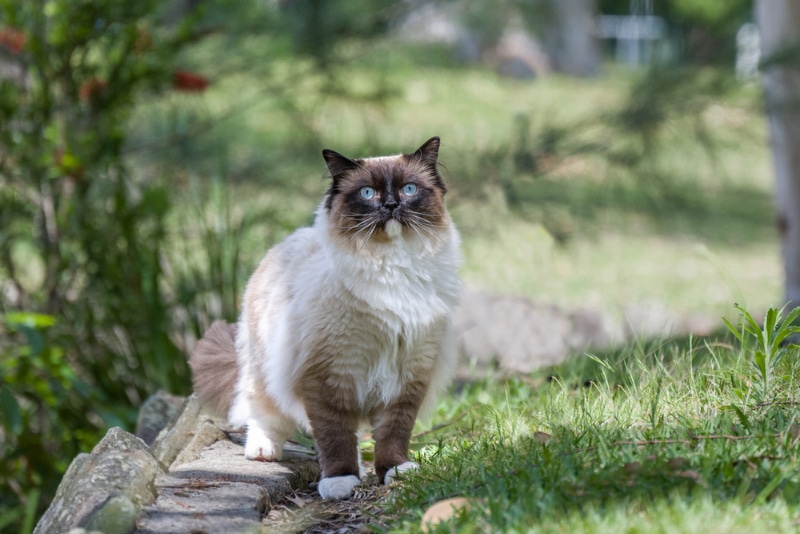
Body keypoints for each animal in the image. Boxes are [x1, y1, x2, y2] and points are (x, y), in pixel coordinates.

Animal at [189, 137, 462, 502]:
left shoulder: (409, 374)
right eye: (367, 193)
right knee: (258, 408)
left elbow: (394, 432)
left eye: (409, 189)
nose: (391, 204)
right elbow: (335, 437)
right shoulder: (328, 376)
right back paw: (263, 451)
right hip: (265, 369)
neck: (391, 268)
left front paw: (395, 471)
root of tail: (284, 243)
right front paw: (340, 482)